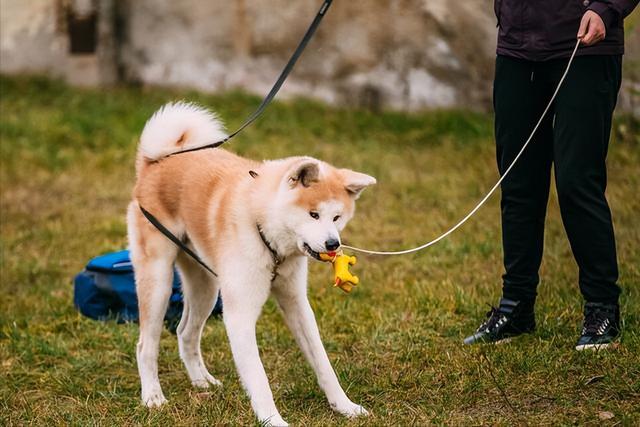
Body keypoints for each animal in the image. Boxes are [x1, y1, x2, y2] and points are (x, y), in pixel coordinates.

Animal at [127, 102, 376, 426]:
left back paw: (202, 381)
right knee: (146, 345)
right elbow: (259, 379)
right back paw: (153, 397)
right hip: (159, 283)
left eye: (337, 217)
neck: (265, 231)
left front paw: (345, 406)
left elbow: (323, 364)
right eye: (313, 215)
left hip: (206, 288)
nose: (334, 244)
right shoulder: (240, 315)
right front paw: (274, 421)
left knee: (185, 333)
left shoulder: (297, 304)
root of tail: (154, 161)